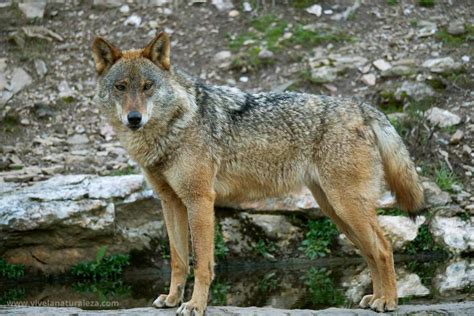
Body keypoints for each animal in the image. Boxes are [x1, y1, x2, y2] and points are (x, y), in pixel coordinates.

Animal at [90, 33, 424, 314]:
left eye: (148, 86)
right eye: (121, 87)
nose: (134, 118)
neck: (173, 128)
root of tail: (360, 106)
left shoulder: (200, 200)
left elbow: (201, 264)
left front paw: (195, 305)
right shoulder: (170, 202)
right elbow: (178, 260)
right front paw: (172, 299)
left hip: (347, 206)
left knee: (384, 248)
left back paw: (389, 301)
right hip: (336, 211)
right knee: (371, 251)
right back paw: (376, 298)